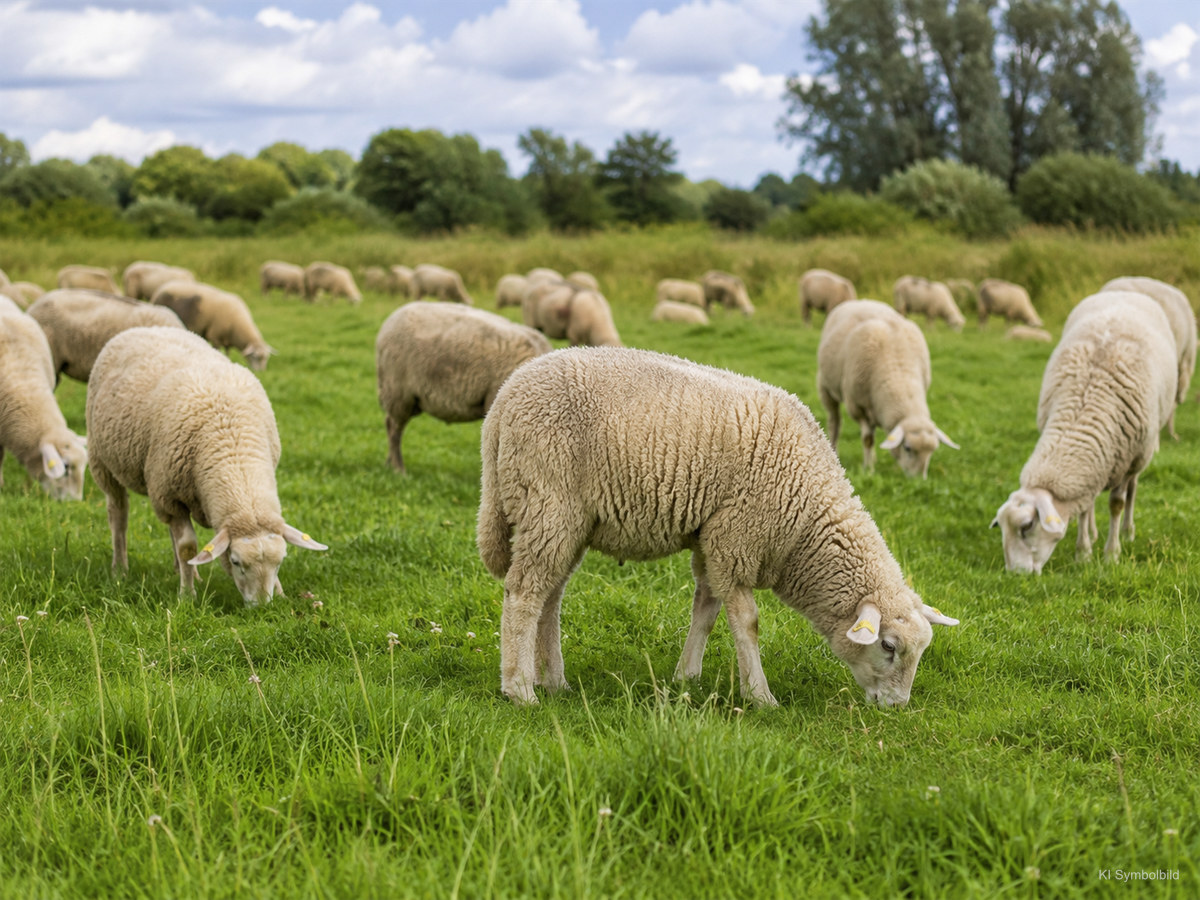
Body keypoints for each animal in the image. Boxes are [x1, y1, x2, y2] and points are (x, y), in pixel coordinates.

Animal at [86, 327, 327, 605]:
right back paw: (120, 569)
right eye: (235, 561)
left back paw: (184, 571)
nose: (261, 606)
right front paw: (187, 596)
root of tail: (145, 328)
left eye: (280, 562)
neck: (233, 446)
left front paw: (279, 592)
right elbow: (187, 546)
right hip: (103, 463)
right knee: (118, 515)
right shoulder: (170, 498)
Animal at [477, 346, 960, 707]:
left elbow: (706, 611)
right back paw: (519, 689)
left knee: (550, 595)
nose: (896, 707)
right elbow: (747, 621)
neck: (806, 520)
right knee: (524, 593)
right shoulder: (735, 539)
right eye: (889, 647)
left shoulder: (712, 540)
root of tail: (502, 403)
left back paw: (554, 681)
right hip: (549, 502)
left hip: (568, 520)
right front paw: (760, 696)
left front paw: (686, 676)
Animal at [817, 300, 959, 478]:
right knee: (834, 422)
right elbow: (868, 440)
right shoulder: (857, 407)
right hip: (825, 386)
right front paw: (868, 469)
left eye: (933, 451)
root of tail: (860, 301)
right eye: (907, 448)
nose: (918, 480)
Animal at [990, 291, 1177, 574]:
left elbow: (1116, 504)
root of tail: (1123, 290)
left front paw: (1111, 554)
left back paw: (1127, 531)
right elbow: (1084, 507)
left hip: (1141, 454)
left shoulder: (1126, 459)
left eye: (1027, 526)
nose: (1015, 575)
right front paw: (1084, 552)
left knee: (1132, 490)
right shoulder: (1095, 464)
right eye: (1001, 527)